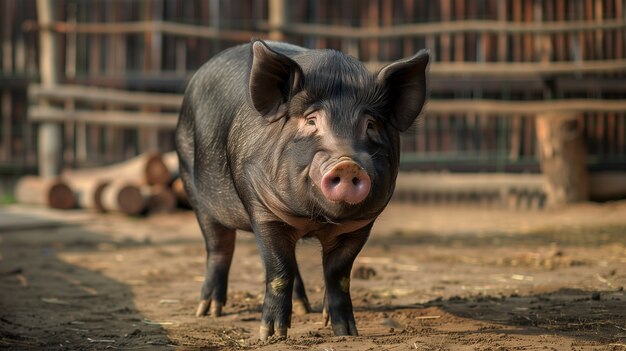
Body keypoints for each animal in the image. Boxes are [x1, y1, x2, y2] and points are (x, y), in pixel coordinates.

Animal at [176, 39, 428, 340]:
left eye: (370, 125)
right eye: (311, 121)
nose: (348, 164)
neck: (315, 219)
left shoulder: (360, 224)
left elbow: (338, 275)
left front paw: (346, 333)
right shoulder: (262, 209)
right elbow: (278, 270)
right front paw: (271, 335)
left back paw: (305, 309)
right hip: (192, 184)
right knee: (219, 247)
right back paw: (207, 311)